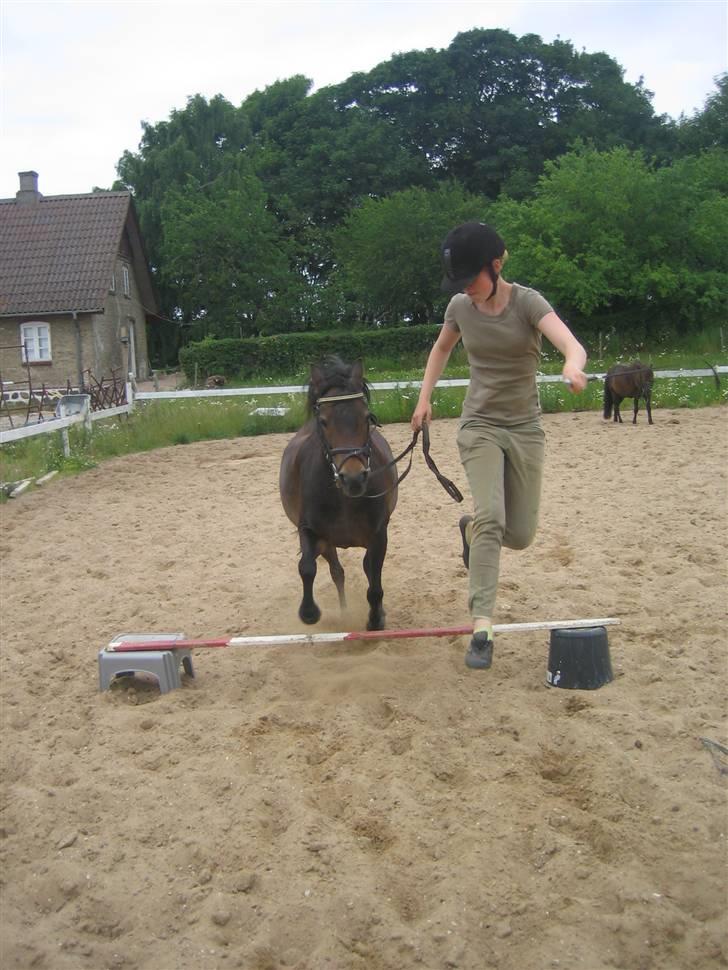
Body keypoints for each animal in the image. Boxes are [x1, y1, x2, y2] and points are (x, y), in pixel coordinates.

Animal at [278, 356, 398, 628]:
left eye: (367, 417)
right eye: (323, 421)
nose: (353, 478)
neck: (344, 499)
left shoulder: (379, 535)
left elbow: (374, 582)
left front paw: (375, 620)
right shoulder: (310, 531)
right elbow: (306, 567)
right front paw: (309, 612)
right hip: (326, 544)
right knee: (336, 572)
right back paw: (343, 612)